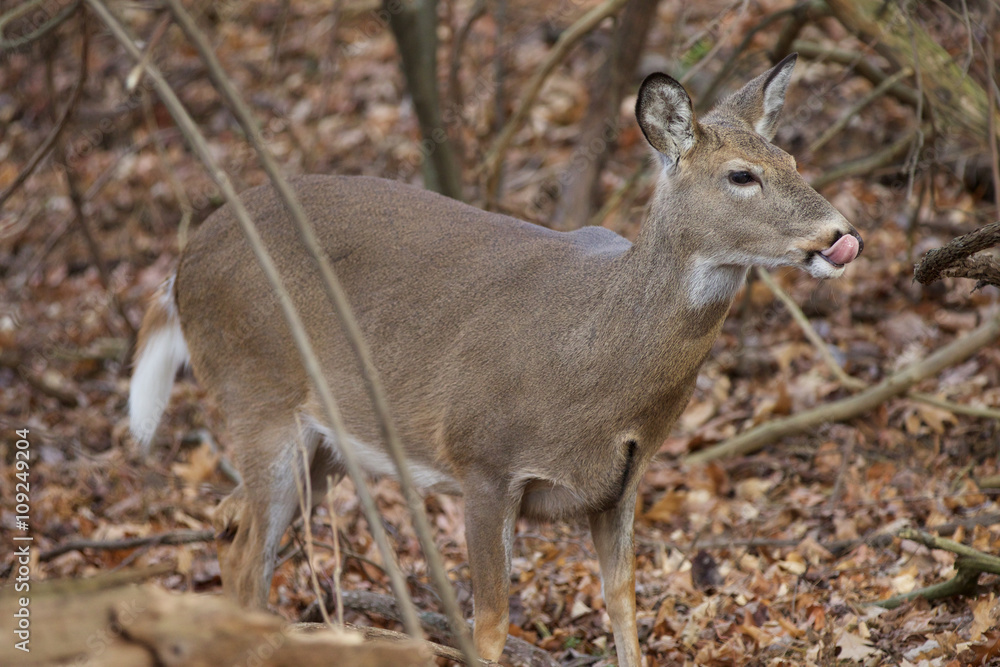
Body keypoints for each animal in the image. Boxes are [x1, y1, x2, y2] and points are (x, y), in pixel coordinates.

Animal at [129, 54, 861, 665]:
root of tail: (180, 267)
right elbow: (488, 626)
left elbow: (623, 606)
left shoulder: (620, 483)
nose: (841, 234)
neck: (594, 357)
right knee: (249, 554)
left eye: (792, 158)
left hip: (325, 441)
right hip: (257, 394)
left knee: (231, 526)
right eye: (741, 175)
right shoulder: (483, 461)